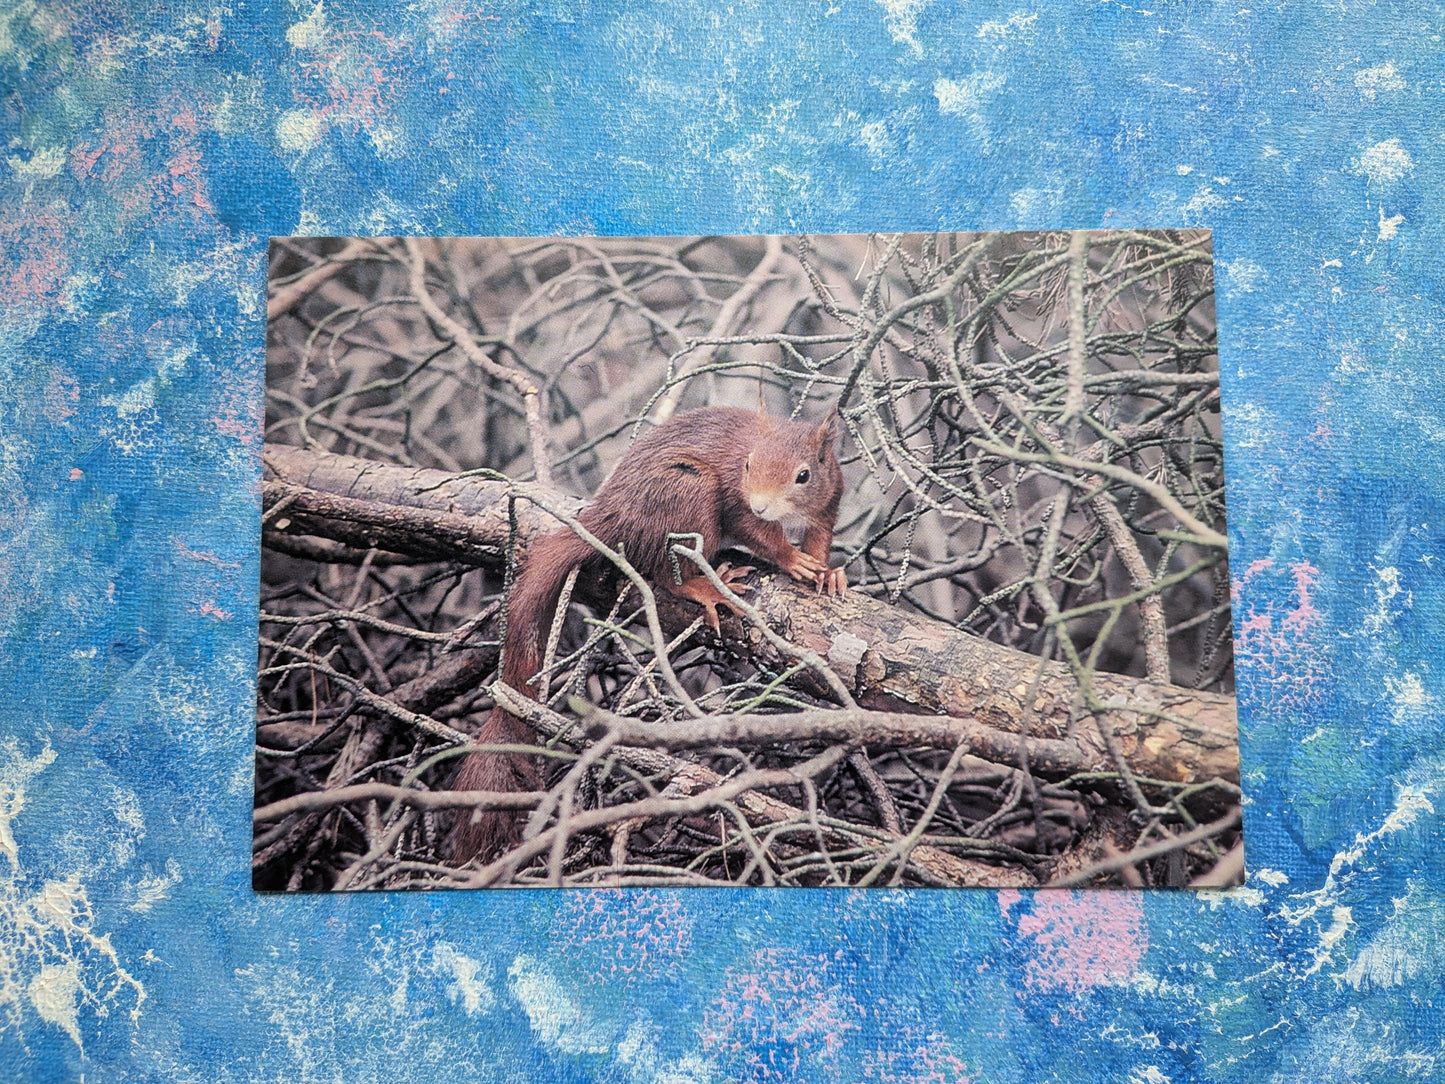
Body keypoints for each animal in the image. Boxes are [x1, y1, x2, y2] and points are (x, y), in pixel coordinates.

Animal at [450, 405, 847, 865]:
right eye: (747, 464)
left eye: (804, 475)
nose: (762, 504)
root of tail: (612, 515)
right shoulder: (738, 501)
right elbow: (759, 535)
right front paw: (791, 558)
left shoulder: (828, 501)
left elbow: (819, 539)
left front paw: (828, 572)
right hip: (689, 493)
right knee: (666, 575)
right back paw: (706, 587)